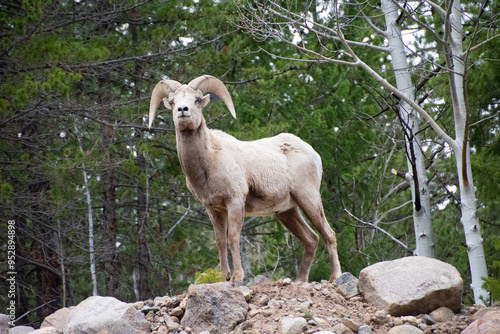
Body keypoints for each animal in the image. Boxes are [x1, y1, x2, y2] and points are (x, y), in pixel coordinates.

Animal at [148, 74, 342, 284]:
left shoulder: (235, 202)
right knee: (311, 240)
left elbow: (233, 237)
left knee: (329, 235)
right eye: (173, 102)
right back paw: (299, 280)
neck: (210, 161)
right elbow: (220, 240)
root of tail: (312, 152)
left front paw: (238, 277)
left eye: (197, 100)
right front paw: (223, 277)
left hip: (309, 199)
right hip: (287, 211)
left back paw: (334, 277)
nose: (182, 110)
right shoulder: (213, 209)